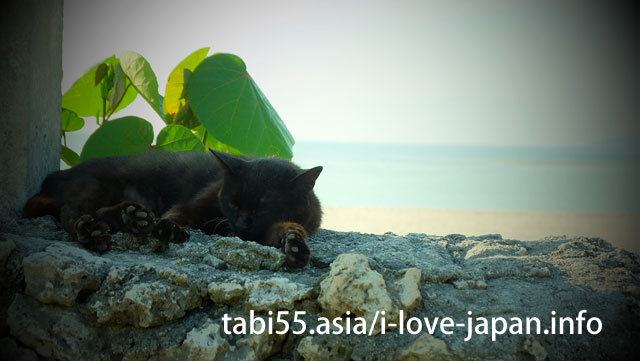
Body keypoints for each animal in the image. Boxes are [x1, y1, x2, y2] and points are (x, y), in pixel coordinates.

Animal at [22, 149, 322, 268]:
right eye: (234, 201)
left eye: (263, 207)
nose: (241, 224)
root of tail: (57, 175)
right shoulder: (197, 202)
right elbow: (180, 213)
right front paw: (169, 229)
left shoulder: (283, 224)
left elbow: (287, 229)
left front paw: (295, 245)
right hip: (95, 185)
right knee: (72, 212)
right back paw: (94, 232)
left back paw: (134, 217)